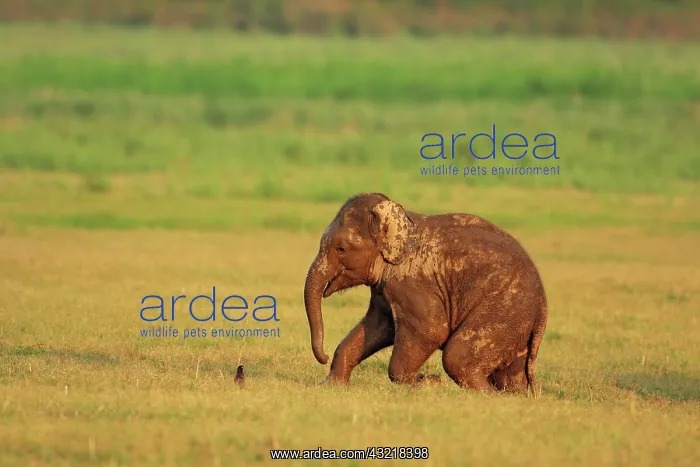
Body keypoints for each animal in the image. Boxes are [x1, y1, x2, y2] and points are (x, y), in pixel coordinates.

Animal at [303, 192, 548, 393]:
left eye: (341, 248)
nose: (323, 357)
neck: (404, 221)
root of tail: (542, 307)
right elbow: (378, 325)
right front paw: (330, 387)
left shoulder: (413, 282)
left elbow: (430, 330)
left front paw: (428, 382)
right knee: (511, 373)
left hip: (504, 311)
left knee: (456, 357)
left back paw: (487, 394)